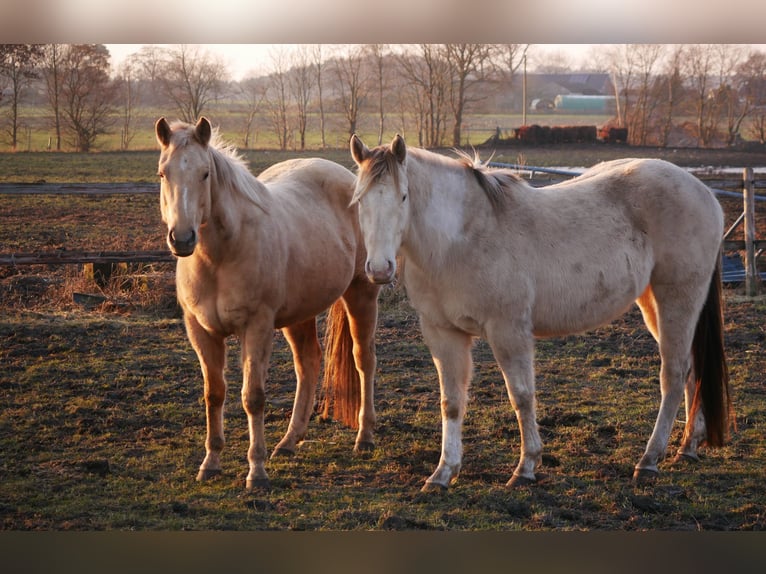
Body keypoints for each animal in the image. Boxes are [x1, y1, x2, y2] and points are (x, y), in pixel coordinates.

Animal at [154, 117, 380, 489]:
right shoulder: (201, 331)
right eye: (163, 173)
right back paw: (289, 441)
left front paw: (256, 472)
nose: (182, 239)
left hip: (361, 293)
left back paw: (364, 438)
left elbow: (253, 397)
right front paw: (210, 463)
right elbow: (214, 394)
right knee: (309, 362)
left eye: (205, 173)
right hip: (299, 314)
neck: (219, 256)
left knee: (364, 361)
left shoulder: (256, 327)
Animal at [350, 134, 733, 490]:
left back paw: (649, 460)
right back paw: (688, 446)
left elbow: (521, 396)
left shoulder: (508, 331)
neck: (459, 239)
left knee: (673, 374)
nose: (380, 269)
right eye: (359, 200)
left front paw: (526, 467)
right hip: (654, 304)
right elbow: (452, 402)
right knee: (690, 369)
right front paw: (443, 473)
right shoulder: (443, 334)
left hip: (677, 300)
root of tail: (704, 193)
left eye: (403, 197)